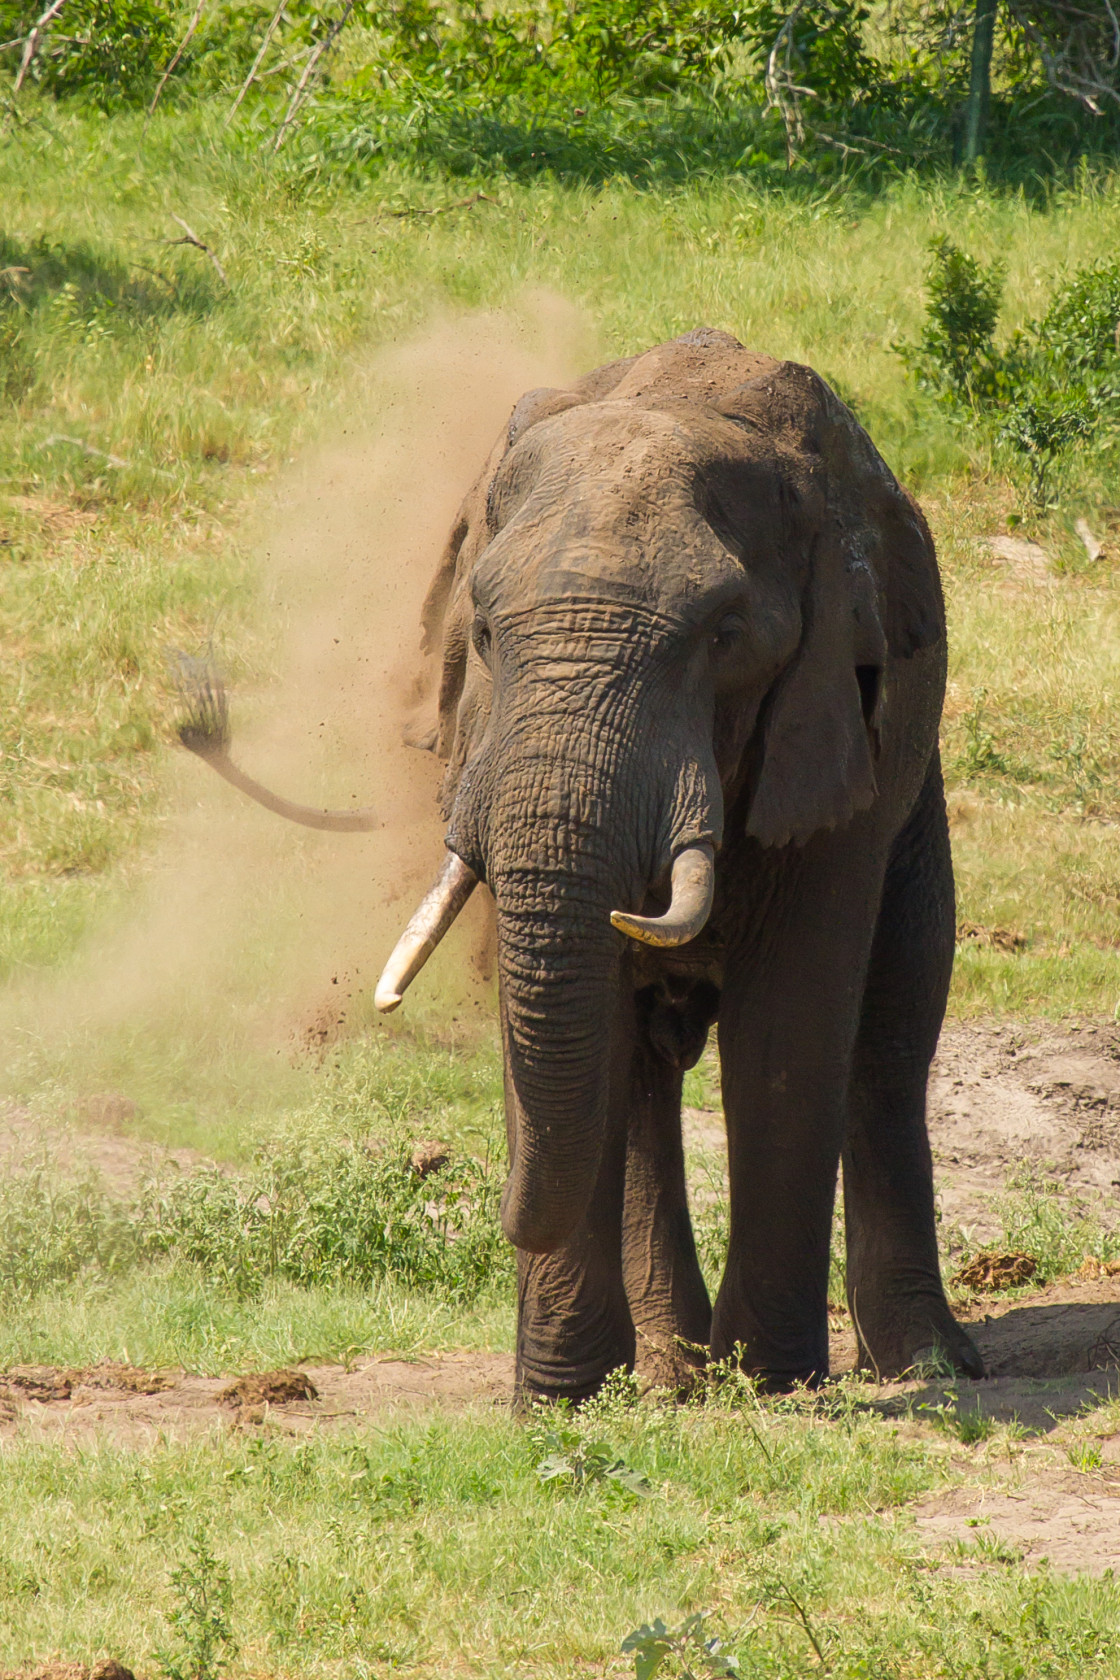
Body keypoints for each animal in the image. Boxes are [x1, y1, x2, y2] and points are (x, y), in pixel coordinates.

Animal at [183, 324, 980, 1391]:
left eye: (726, 636)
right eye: (483, 632)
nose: (464, 1187)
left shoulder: (831, 735)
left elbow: (789, 1024)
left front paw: (767, 1385)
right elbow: (586, 1037)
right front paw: (563, 1400)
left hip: (908, 787)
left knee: (891, 1034)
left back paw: (925, 1365)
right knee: (639, 1068)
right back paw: (674, 1373)